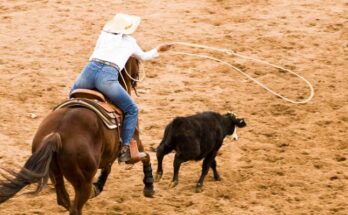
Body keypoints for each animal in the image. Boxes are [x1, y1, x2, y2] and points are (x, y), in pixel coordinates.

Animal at [0, 57, 154, 215]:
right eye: (137, 61)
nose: (135, 78)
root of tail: (57, 133)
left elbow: (108, 168)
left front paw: (98, 187)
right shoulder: (134, 145)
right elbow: (145, 156)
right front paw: (149, 187)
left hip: (55, 173)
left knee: (64, 199)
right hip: (82, 181)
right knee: (75, 206)